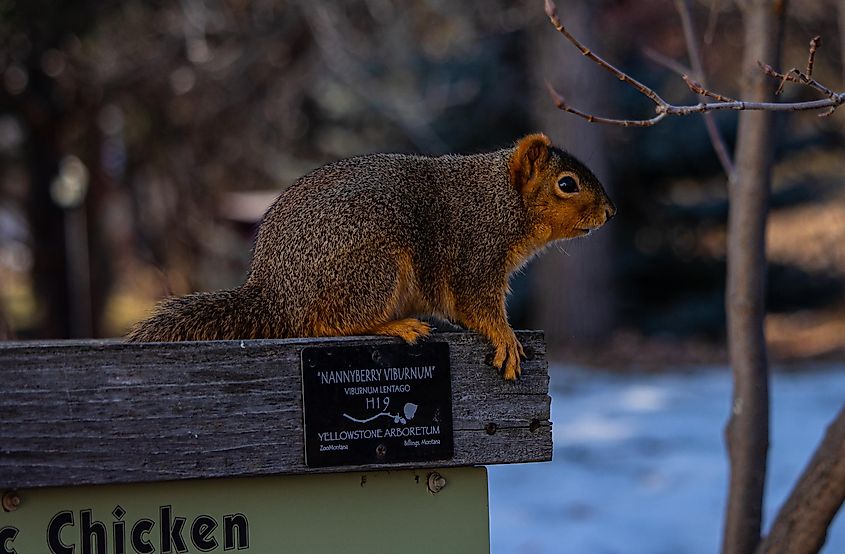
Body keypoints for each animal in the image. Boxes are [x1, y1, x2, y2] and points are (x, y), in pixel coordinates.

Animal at [127, 134, 612, 380]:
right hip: (373, 264)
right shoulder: (475, 254)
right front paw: (506, 337)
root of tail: (278, 293)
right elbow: (478, 305)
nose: (611, 212)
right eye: (567, 184)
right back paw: (395, 325)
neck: (501, 201)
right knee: (325, 324)